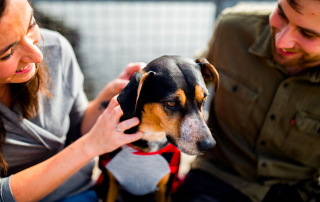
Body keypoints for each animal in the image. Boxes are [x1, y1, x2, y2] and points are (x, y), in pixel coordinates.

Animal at [96, 55, 219, 202]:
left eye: (204, 99)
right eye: (171, 103)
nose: (209, 145)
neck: (153, 134)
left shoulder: (165, 187)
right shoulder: (109, 183)